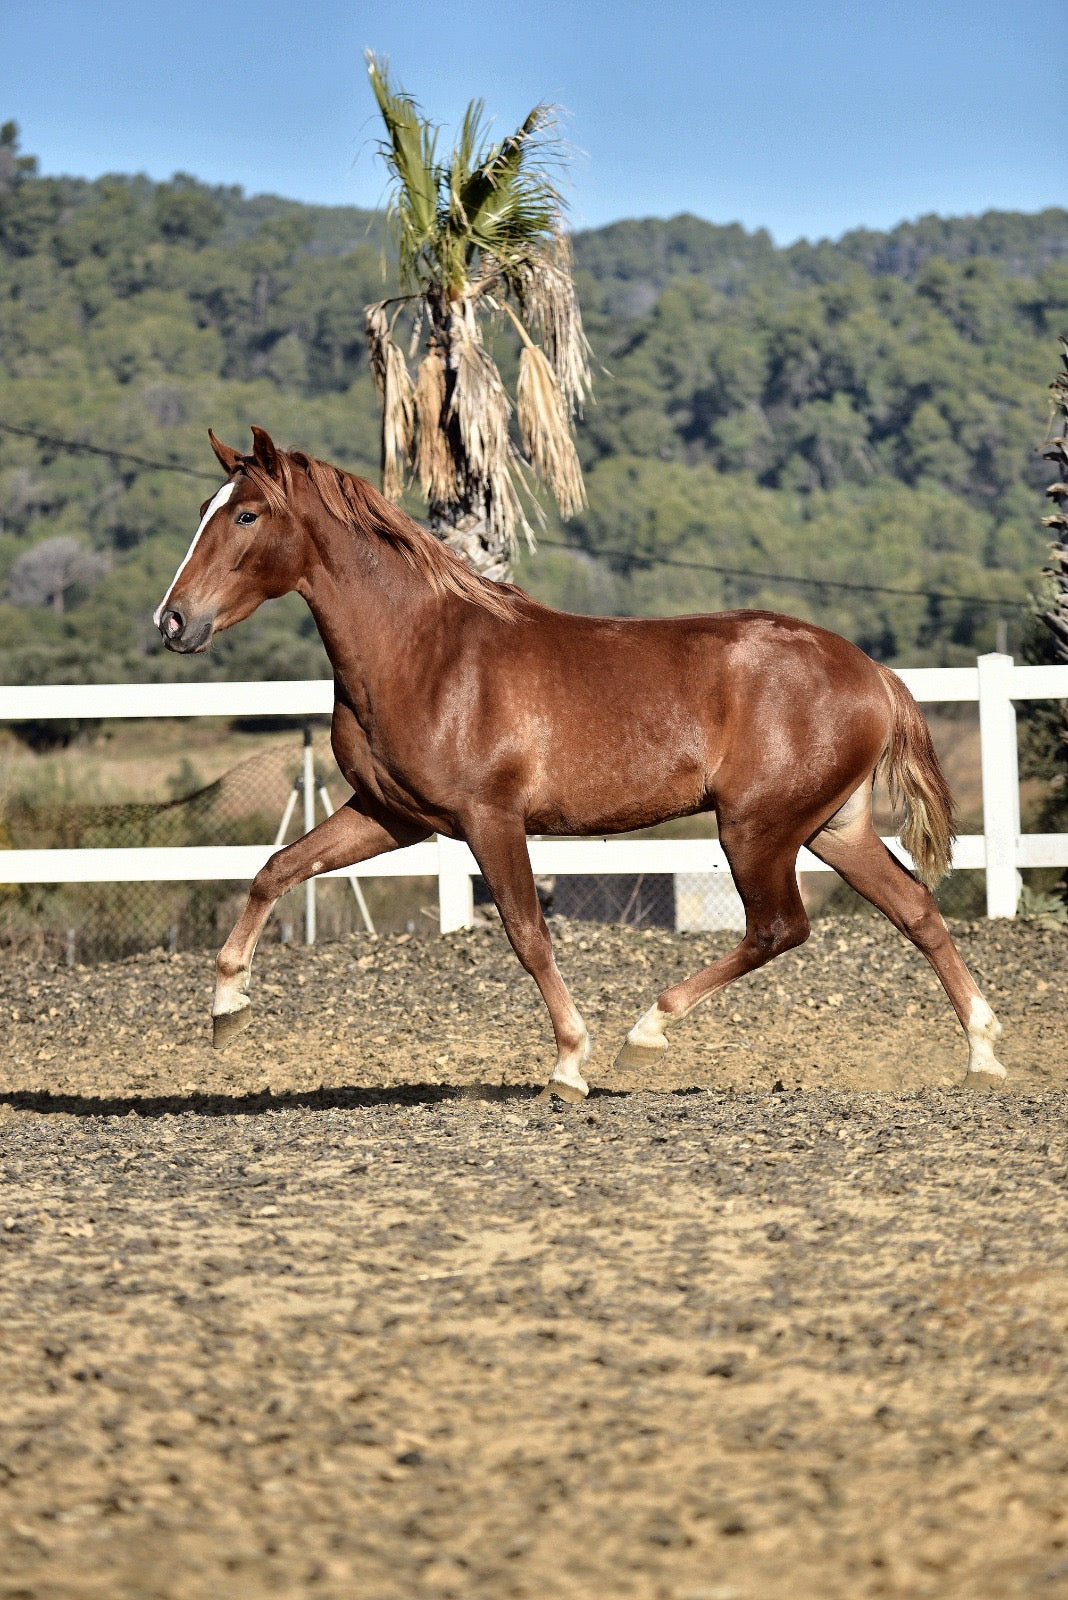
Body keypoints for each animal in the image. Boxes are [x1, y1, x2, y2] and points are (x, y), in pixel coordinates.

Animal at [154, 427, 1006, 1099]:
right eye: (200, 510)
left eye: (246, 513)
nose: (173, 621)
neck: (424, 652)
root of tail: (871, 672)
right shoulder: (393, 816)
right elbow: (274, 870)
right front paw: (226, 1011)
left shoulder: (489, 818)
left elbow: (529, 934)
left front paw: (569, 1064)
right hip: (834, 826)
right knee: (915, 909)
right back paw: (985, 1054)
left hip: (756, 829)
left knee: (779, 928)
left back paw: (646, 1033)